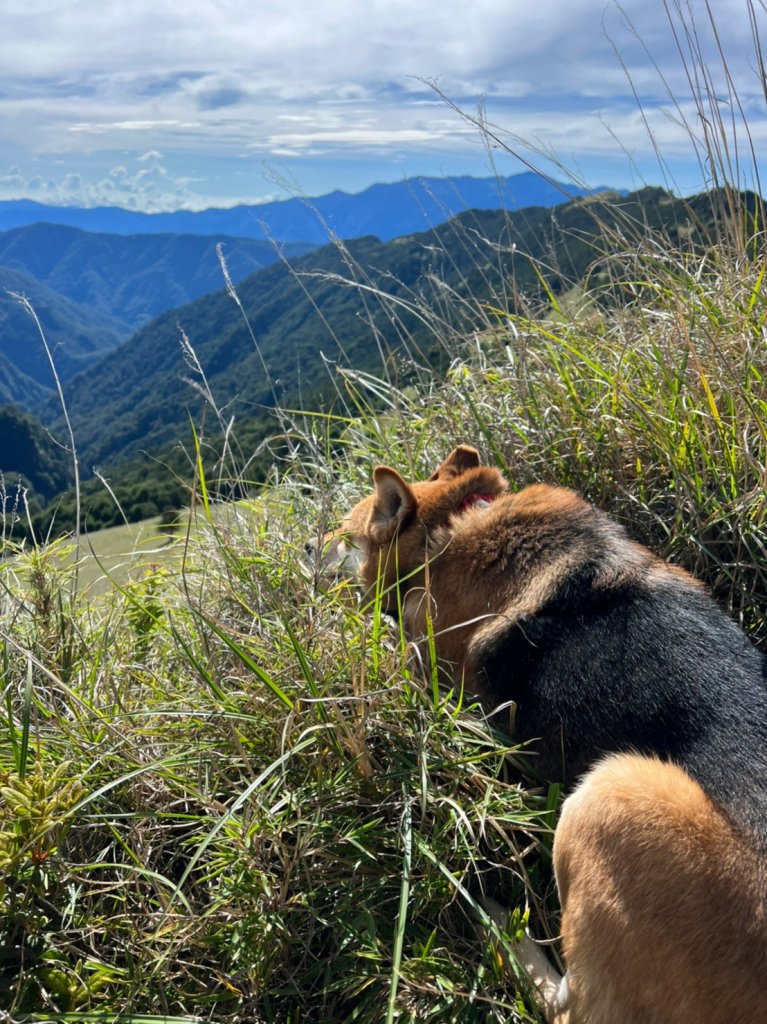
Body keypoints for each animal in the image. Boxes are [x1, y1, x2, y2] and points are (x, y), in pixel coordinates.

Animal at [319, 446, 765, 1024]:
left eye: (345, 531)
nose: (307, 544)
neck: (455, 522)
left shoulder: (427, 654)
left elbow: (394, 638)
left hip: (611, 790)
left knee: (562, 1007)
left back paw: (490, 917)